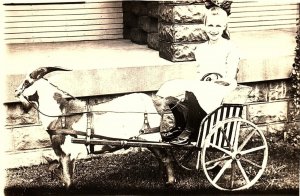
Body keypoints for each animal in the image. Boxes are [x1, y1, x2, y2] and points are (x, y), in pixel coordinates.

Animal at [15, 67, 177, 188]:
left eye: (27, 81)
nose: (15, 91)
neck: (60, 113)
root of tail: (156, 102)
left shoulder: (67, 154)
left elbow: (68, 181)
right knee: (162, 157)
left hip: (151, 136)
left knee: (166, 157)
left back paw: (170, 182)